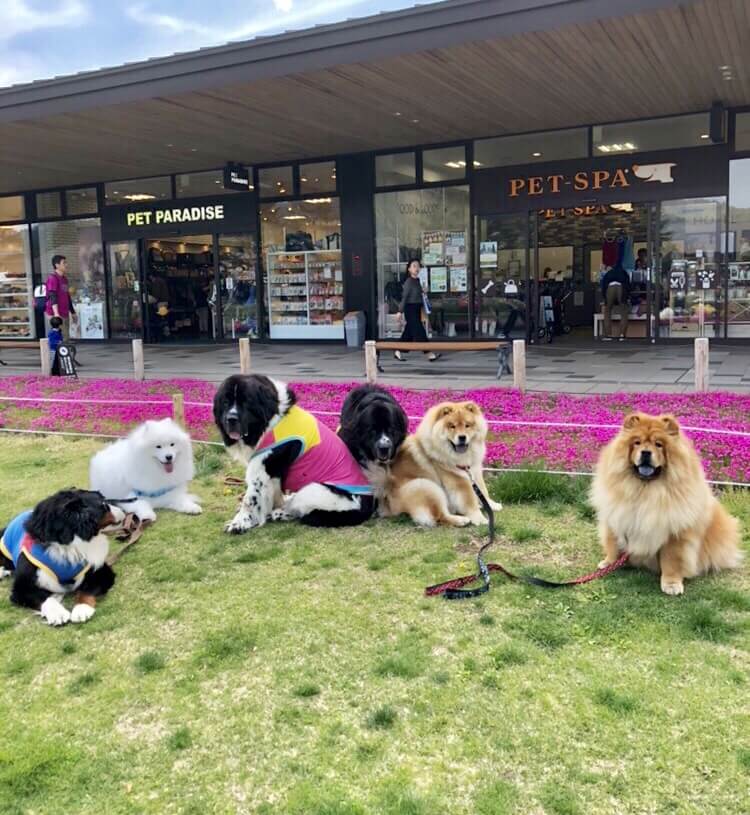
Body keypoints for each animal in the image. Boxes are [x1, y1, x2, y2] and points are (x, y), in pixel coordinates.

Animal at [0, 488, 125, 628]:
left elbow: (87, 590)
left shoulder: (101, 571)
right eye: (104, 505)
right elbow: (44, 598)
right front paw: (57, 613)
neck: (71, 542)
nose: (124, 509)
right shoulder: (22, 587)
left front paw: (81, 609)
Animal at [212, 374, 376, 532]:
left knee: (300, 511)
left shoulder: (261, 470)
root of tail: (367, 506)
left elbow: (251, 498)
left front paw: (239, 523)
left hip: (314, 489)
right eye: (225, 402)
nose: (231, 419)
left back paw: (279, 513)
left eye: (246, 402)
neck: (270, 421)